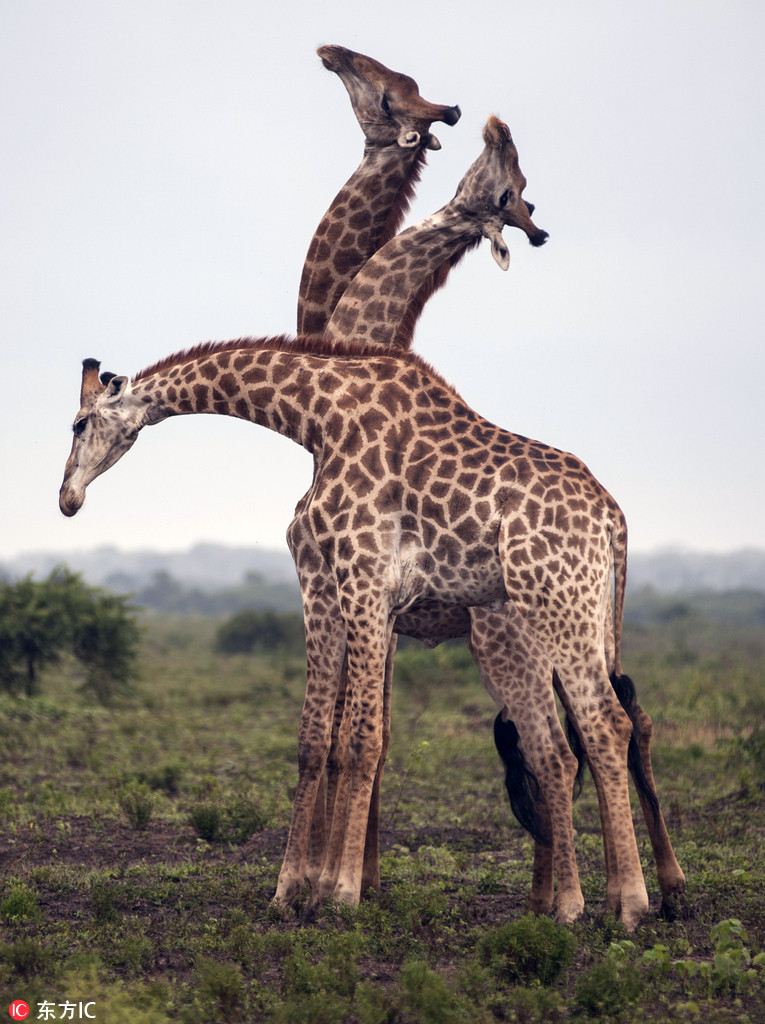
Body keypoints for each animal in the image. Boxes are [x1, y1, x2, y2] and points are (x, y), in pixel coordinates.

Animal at [59, 335, 651, 929]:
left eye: (79, 423)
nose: (67, 498)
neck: (318, 420)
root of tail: (614, 517)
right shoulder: (328, 586)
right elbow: (317, 738)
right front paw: (292, 892)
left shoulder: (361, 580)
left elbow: (364, 738)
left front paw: (340, 893)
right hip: (567, 620)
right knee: (566, 749)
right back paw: (578, 904)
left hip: (557, 603)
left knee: (605, 725)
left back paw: (626, 905)